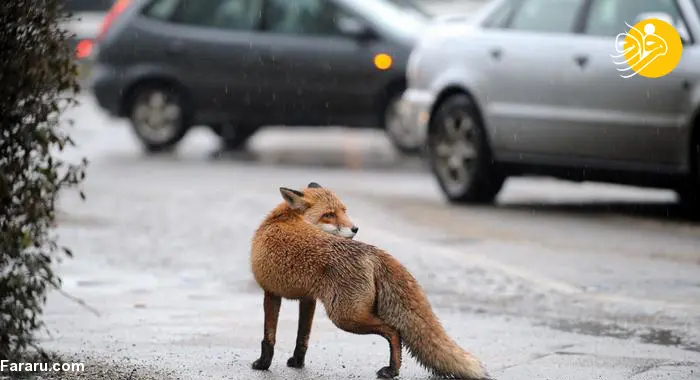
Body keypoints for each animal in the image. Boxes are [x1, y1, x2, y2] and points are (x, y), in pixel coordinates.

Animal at [252, 183, 492, 378]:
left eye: (343, 211)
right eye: (329, 214)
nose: (355, 228)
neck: (282, 218)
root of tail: (372, 250)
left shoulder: (270, 293)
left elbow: (268, 336)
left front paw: (263, 364)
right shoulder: (308, 299)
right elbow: (303, 336)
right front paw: (297, 363)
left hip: (345, 317)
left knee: (394, 331)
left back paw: (392, 370)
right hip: (349, 314)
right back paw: (394, 369)